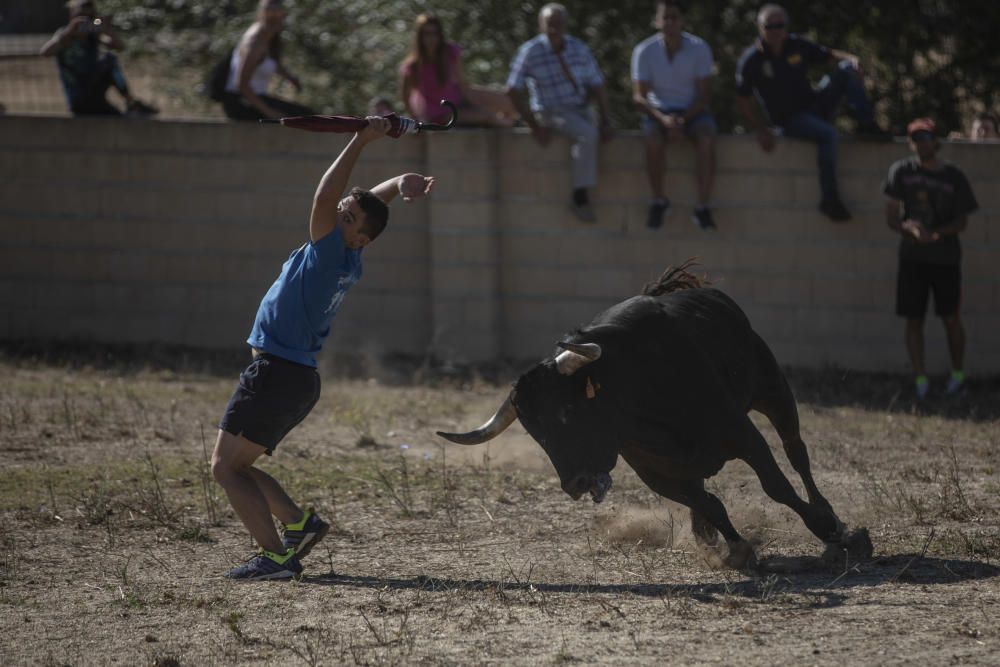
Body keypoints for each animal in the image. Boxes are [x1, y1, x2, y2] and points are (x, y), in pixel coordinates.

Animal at [442, 264, 872, 568]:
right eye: (536, 434)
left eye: (568, 411)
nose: (574, 484)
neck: (635, 395)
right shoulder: (655, 473)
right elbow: (710, 503)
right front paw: (735, 550)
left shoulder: (744, 434)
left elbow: (776, 486)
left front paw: (829, 531)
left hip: (774, 390)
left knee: (797, 452)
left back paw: (831, 517)